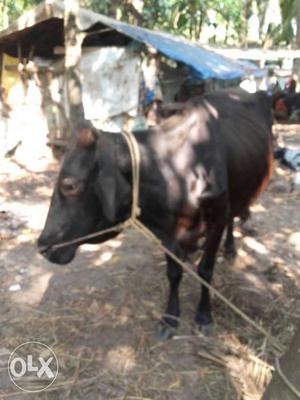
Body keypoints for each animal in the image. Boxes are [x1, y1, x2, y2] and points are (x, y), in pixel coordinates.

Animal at [38, 87, 274, 338]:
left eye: (70, 185)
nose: (42, 247)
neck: (177, 172)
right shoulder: (167, 231)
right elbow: (173, 272)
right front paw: (170, 317)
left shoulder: (216, 217)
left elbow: (206, 270)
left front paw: (203, 316)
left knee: (233, 216)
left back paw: (229, 248)